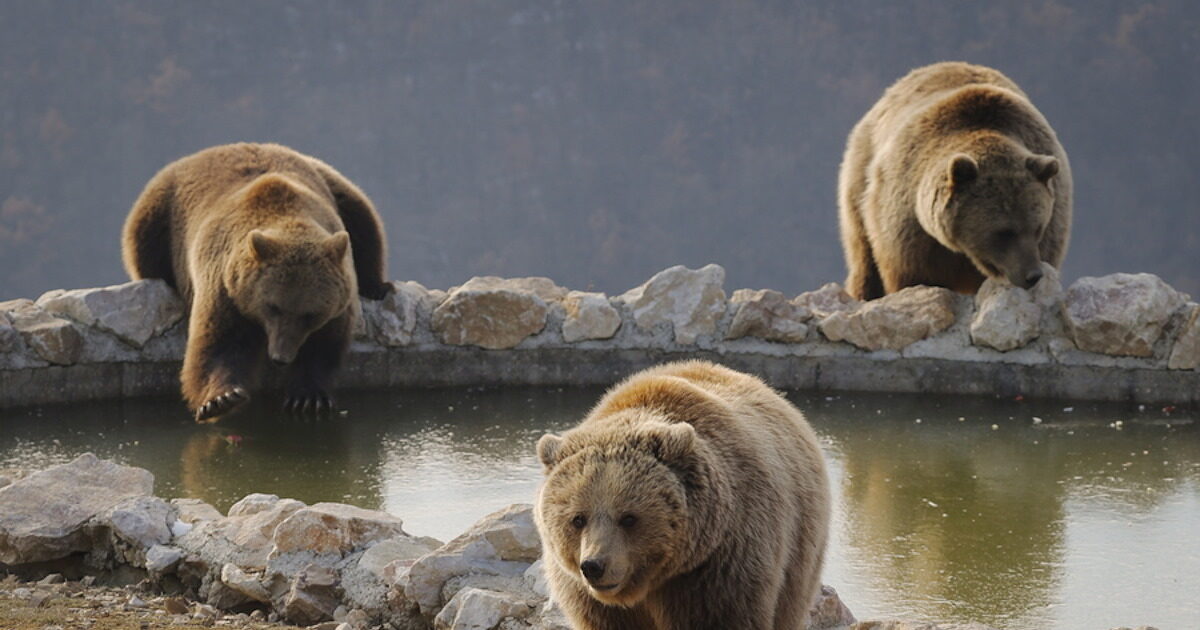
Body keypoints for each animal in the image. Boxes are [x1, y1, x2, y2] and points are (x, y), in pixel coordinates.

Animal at [121, 143, 390, 421]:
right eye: (273, 306)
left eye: (310, 314)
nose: (280, 357)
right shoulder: (225, 287)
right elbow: (218, 343)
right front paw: (221, 399)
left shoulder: (337, 301)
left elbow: (324, 345)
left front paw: (308, 396)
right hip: (159, 210)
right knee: (144, 242)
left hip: (331, 181)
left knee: (364, 219)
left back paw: (377, 286)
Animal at [534, 360, 830, 630]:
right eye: (578, 518)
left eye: (628, 518)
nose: (594, 566)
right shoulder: (592, 600)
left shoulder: (721, 567)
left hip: (799, 548)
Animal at [838, 61, 1072, 300]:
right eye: (1004, 232)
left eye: (1037, 228)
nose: (1032, 274)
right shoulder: (909, 225)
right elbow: (910, 273)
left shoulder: (1054, 217)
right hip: (861, 174)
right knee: (863, 255)